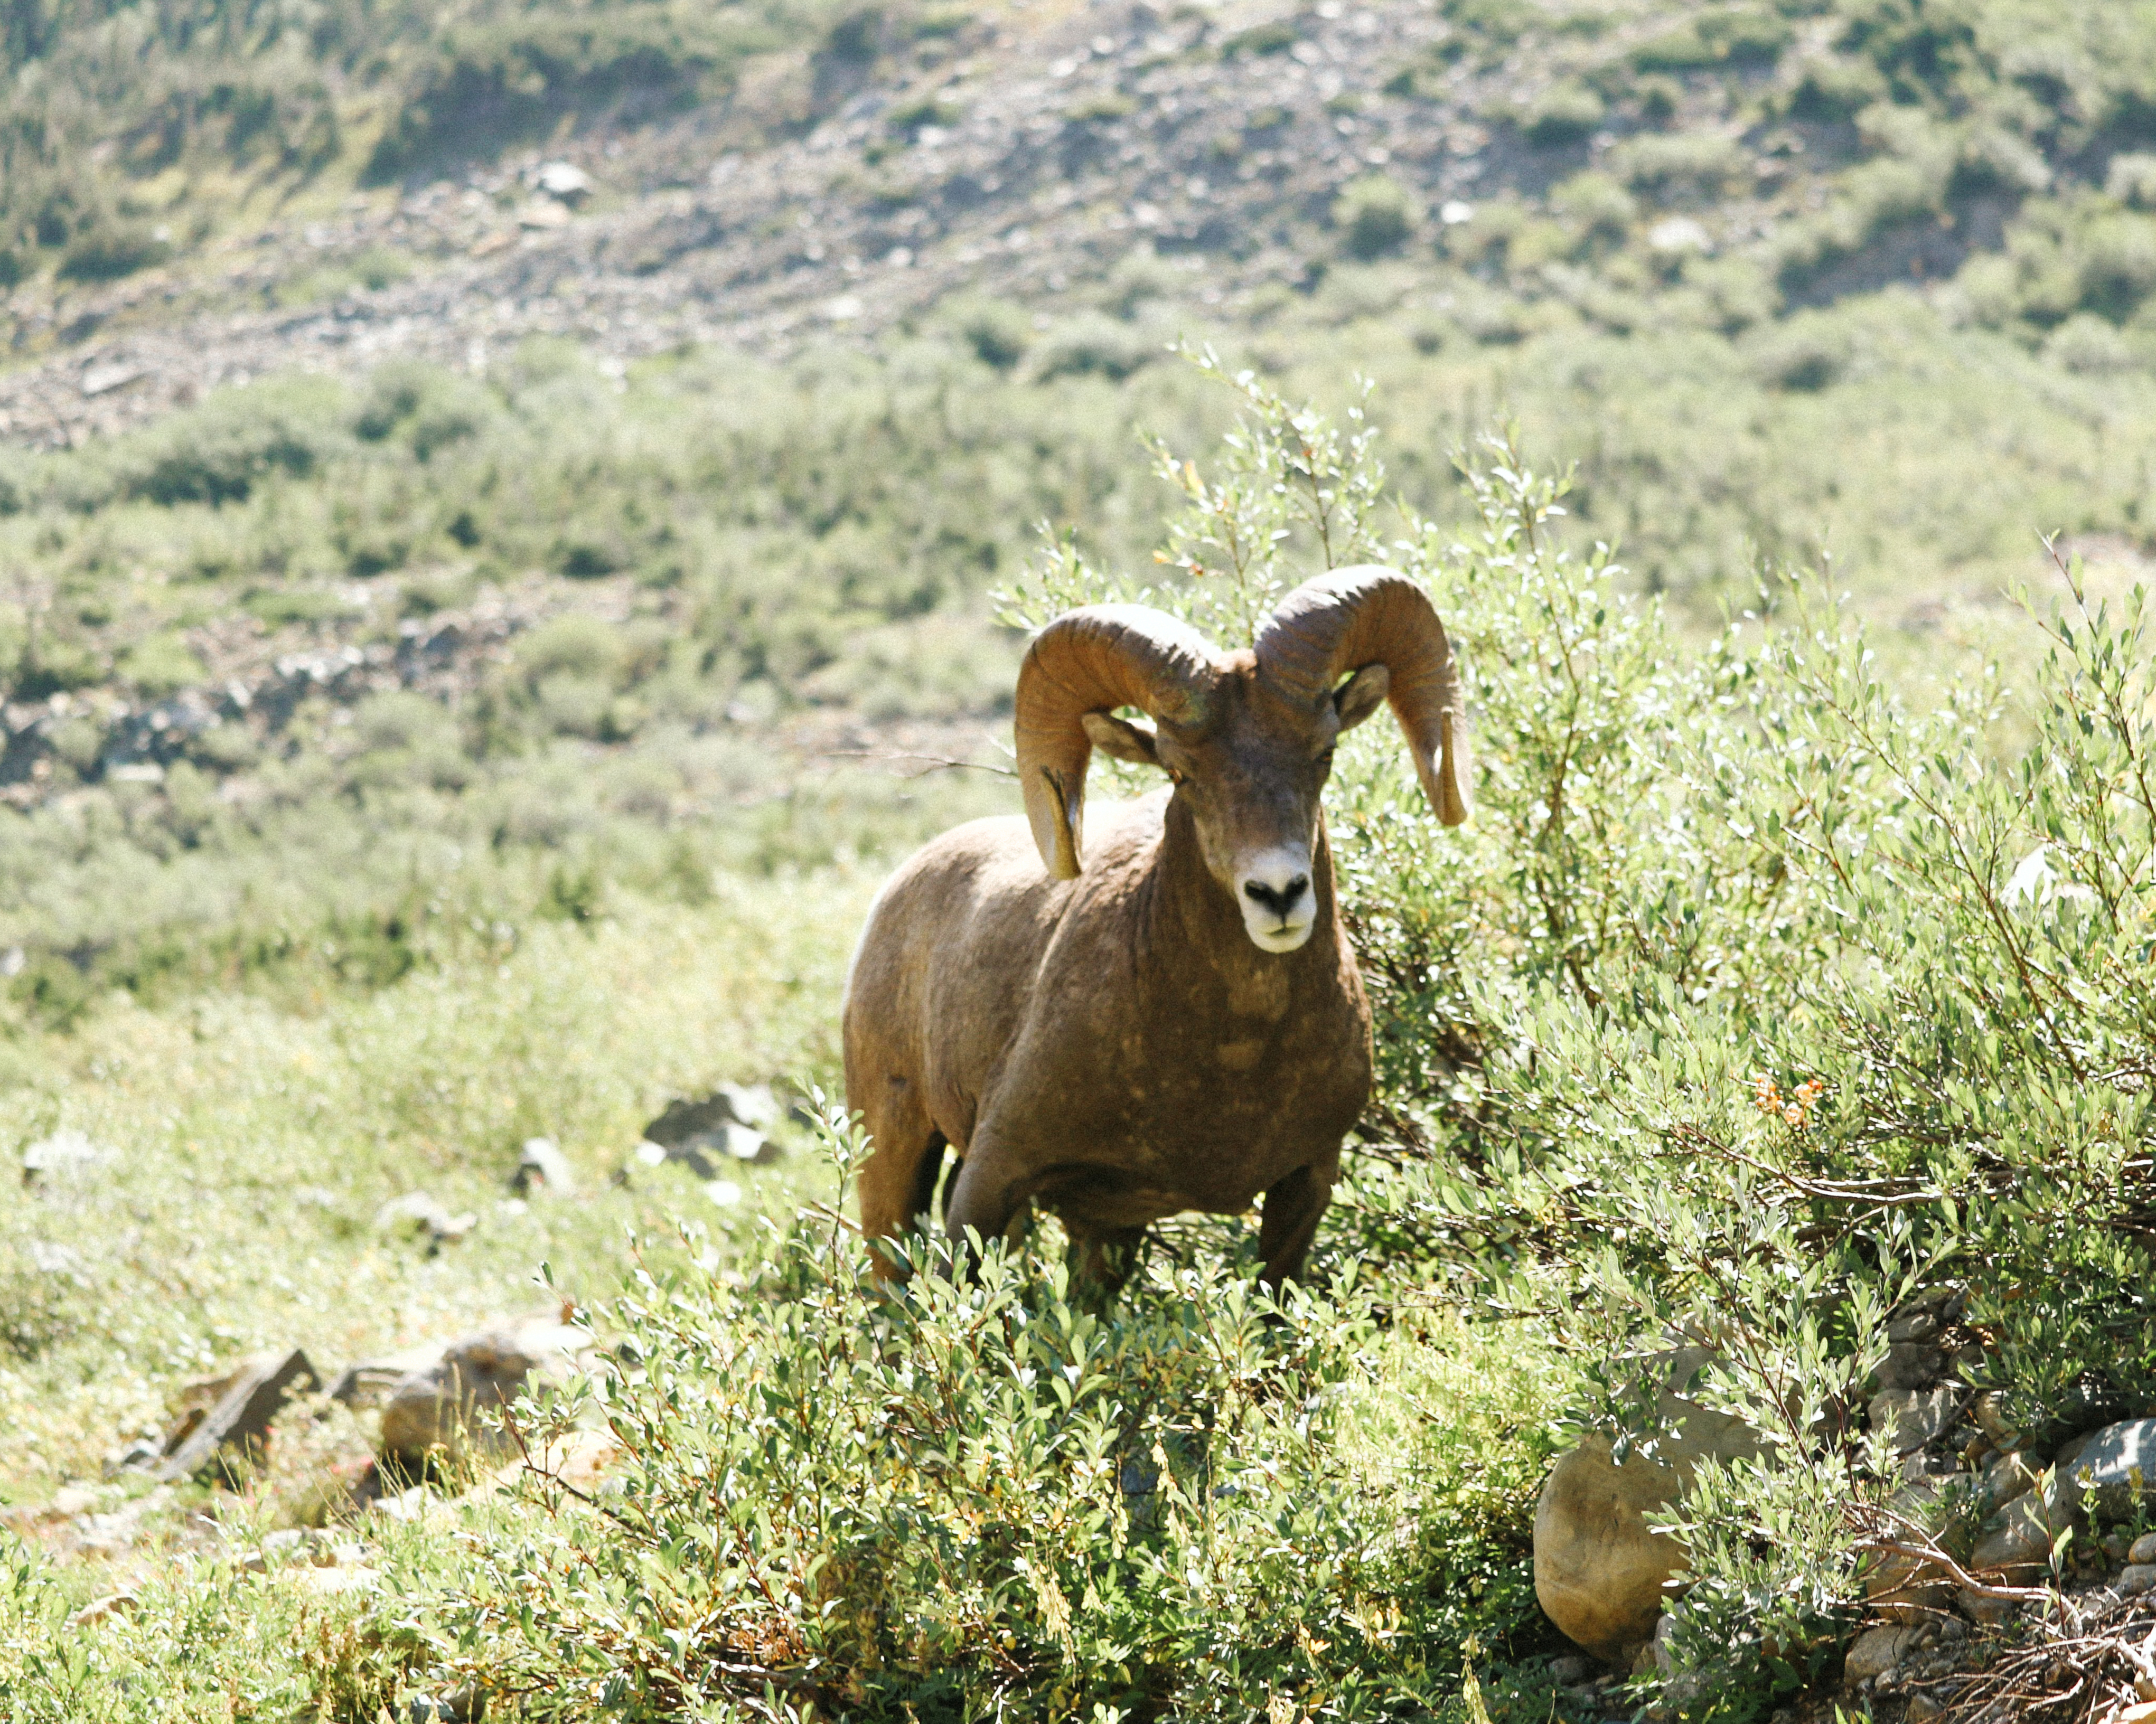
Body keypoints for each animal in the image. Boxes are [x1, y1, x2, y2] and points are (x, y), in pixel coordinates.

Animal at [841, 566, 1469, 1289]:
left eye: (1324, 751)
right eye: (1179, 771)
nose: (1277, 894)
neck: (1234, 1054)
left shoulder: (1303, 1187)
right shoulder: (992, 1177)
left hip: (1106, 1232)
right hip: (894, 1152)